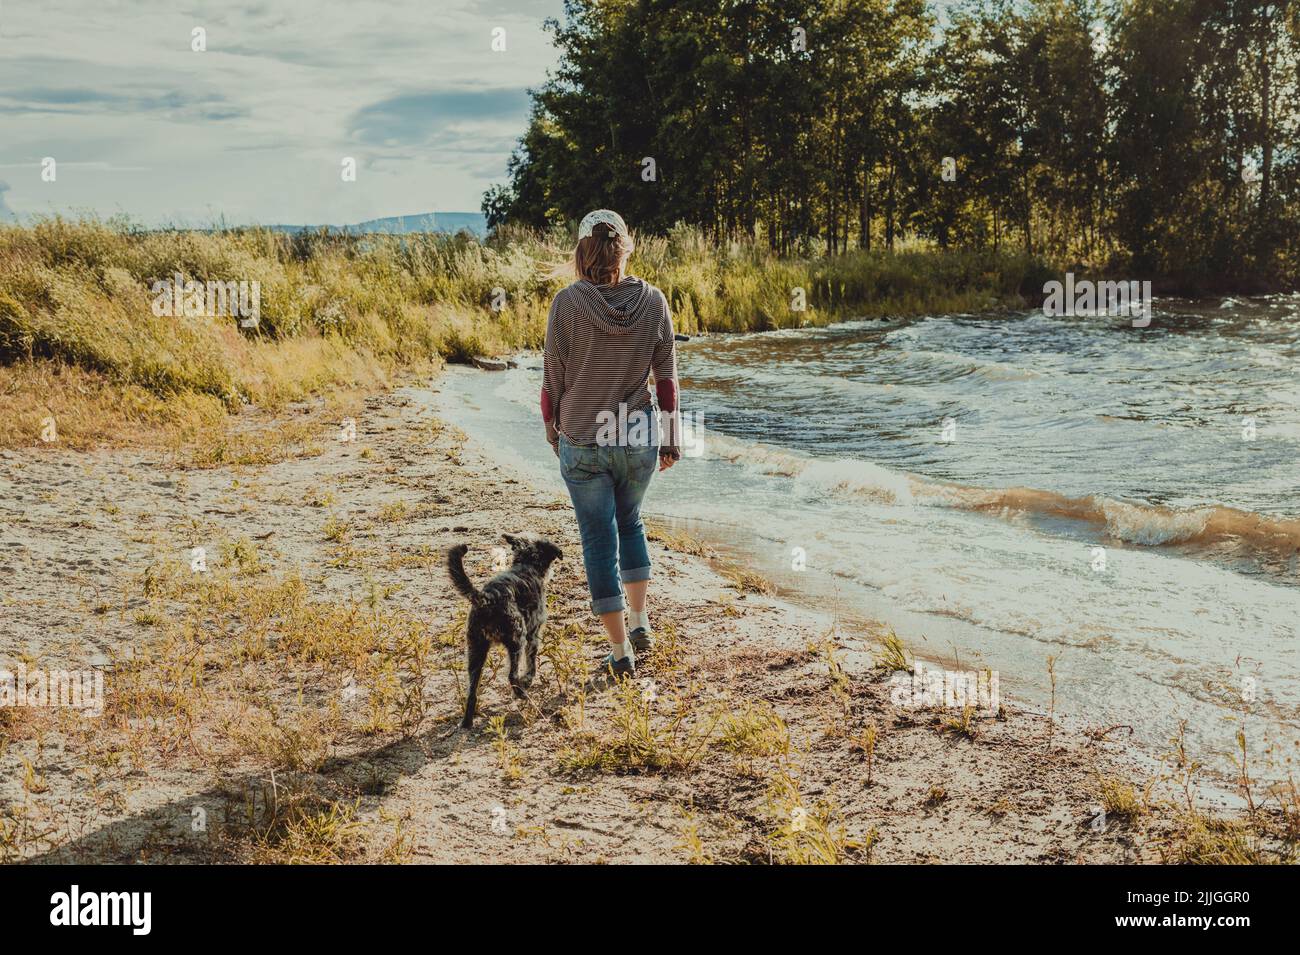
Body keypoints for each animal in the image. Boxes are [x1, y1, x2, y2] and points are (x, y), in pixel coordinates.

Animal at [449, 535, 561, 727]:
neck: (527, 564)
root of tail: (486, 598)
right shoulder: (533, 635)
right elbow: (531, 663)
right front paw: (528, 680)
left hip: (475, 652)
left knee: (471, 693)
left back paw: (467, 722)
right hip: (517, 640)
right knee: (512, 676)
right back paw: (522, 694)